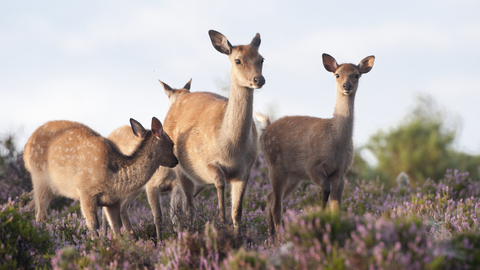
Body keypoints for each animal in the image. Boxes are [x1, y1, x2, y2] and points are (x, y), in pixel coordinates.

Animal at [23, 117, 177, 235]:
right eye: (171, 144)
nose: (176, 161)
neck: (113, 179)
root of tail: (26, 147)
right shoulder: (85, 191)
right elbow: (93, 226)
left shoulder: (112, 201)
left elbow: (116, 228)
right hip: (39, 178)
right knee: (41, 216)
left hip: (53, 189)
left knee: (32, 209)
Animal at [102, 79, 192, 240]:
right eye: (174, 100)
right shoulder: (151, 185)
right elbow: (158, 217)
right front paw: (160, 241)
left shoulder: (176, 184)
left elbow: (176, 216)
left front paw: (180, 238)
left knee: (123, 207)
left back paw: (132, 237)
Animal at [163, 29, 264, 228]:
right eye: (238, 60)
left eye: (262, 59)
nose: (259, 79)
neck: (230, 149)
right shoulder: (209, 163)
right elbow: (220, 190)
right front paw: (221, 224)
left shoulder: (246, 169)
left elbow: (237, 212)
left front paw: (237, 232)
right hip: (179, 167)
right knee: (187, 203)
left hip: (198, 179)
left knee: (186, 202)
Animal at [255, 52, 376, 236]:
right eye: (337, 74)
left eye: (356, 75)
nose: (346, 86)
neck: (335, 143)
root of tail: (265, 128)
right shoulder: (312, 165)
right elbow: (325, 188)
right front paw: (320, 213)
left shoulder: (340, 172)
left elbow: (337, 206)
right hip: (274, 165)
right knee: (276, 205)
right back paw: (279, 237)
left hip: (293, 176)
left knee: (270, 198)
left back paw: (271, 236)